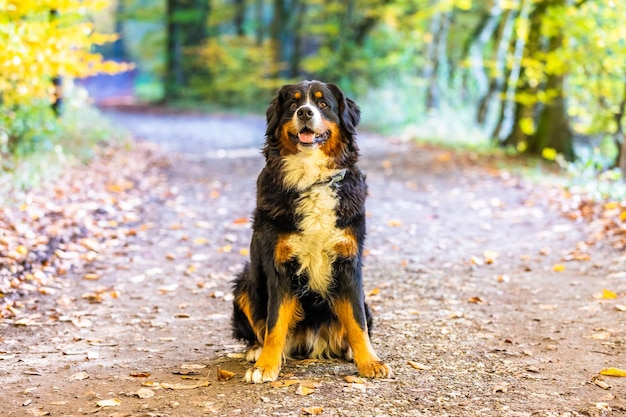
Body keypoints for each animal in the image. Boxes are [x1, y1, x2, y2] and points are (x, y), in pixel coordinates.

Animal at [232, 79, 388, 382]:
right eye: (293, 104)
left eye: (323, 103)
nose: (304, 112)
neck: (312, 180)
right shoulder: (280, 266)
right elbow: (274, 323)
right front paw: (265, 366)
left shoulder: (348, 263)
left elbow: (358, 322)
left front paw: (369, 361)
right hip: (244, 282)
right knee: (259, 328)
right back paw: (256, 350)